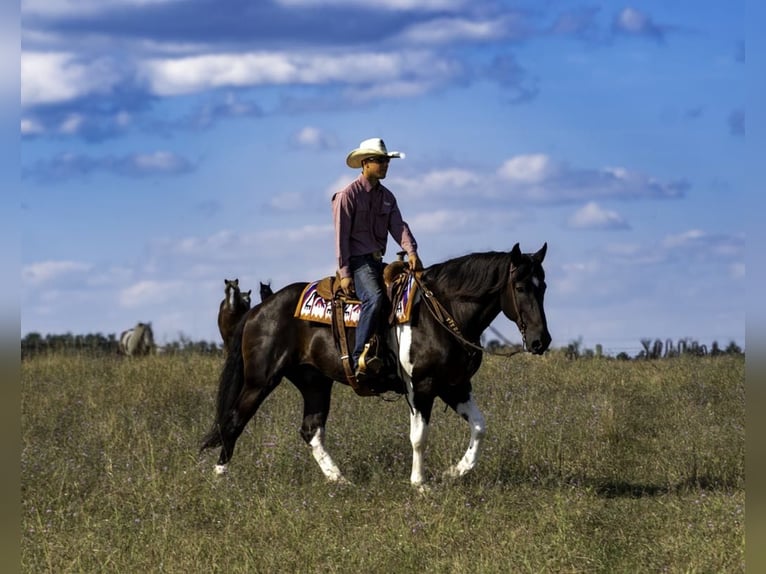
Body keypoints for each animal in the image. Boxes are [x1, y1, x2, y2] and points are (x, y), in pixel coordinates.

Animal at [202, 243, 552, 490]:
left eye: (544, 286)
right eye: (520, 287)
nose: (541, 341)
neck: (444, 312)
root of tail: (260, 309)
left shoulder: (455, 386)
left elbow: (479, 427)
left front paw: (454, 472)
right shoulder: (421, 387)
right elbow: (419, 437)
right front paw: (419, 484)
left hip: (315, 382)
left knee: (310, 430)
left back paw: (340, 480)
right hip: (260, 380)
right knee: (232, 421)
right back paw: (220, 478)